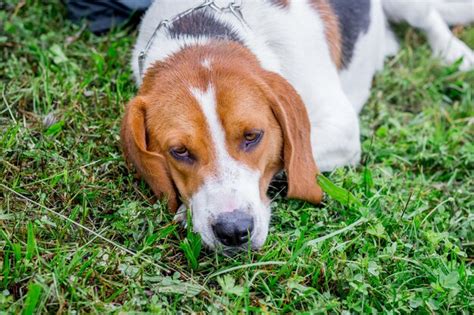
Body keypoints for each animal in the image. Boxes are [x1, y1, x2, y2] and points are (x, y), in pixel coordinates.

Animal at [122, 0, 474, 252]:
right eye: (179, 151)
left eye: (253, 136)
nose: (233, 231)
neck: (202, 31)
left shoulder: (342, 127)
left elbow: (290, 152)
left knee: (430, 18)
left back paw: (452, 51)